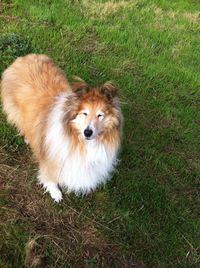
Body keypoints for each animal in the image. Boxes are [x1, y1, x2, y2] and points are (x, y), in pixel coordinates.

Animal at [1, 54, 122, 201]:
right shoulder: (50, 158)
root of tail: (24, 58)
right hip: (16, 112)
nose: (87, 132)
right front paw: (55, 193)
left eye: (100, 115)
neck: (79, 141)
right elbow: (50, 176)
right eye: (84, 113)